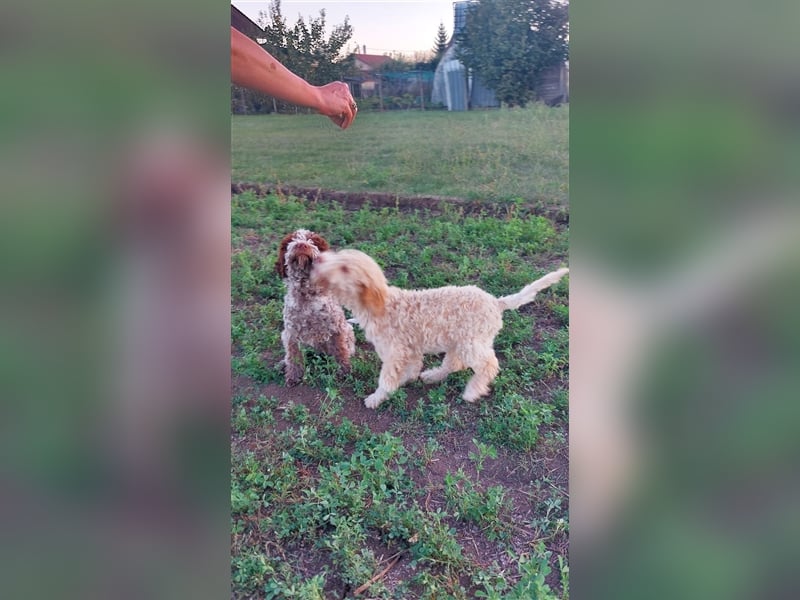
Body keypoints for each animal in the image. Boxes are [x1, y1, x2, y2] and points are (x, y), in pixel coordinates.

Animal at [276, 230, 354, 384]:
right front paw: (293, 376)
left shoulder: (337, 328)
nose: (301, 245)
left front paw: (344, 371)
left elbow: (340, 350)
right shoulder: (291, 332)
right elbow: (293, 356)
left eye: (313, 241)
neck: (306, 293)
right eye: (290, 241)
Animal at [312, 247, 568, 408]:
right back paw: (433, 375)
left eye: (345, 268)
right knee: (454, 363)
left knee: (488, 364)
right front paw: (407, 379)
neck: (380, 305)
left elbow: (387, 378)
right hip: (458, 341)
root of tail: (497, 302)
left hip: (471, 342)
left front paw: (377, 398)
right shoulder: (410, 349)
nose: (319, 261)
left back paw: (473, 390)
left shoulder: (395, 351)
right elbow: (412, 367)